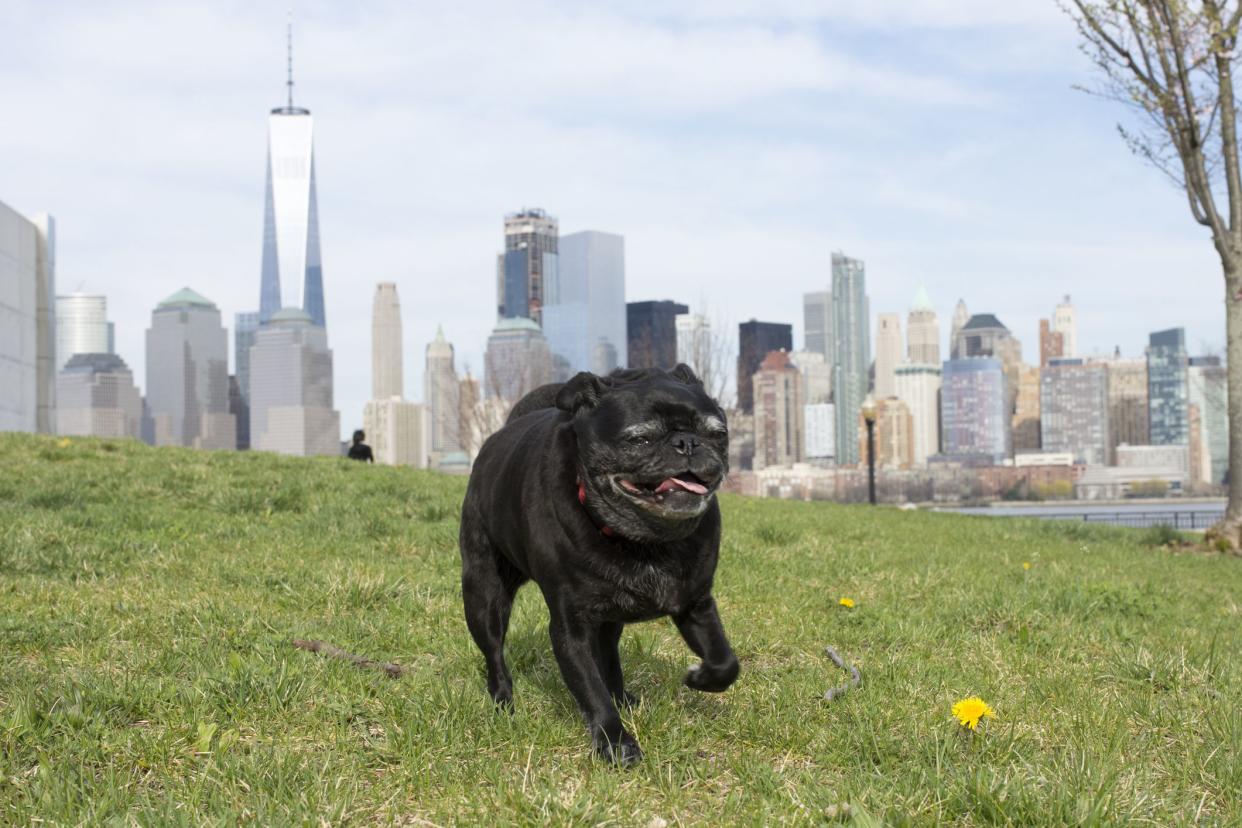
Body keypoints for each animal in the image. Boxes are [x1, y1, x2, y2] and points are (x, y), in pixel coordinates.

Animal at [462, 364, 740, 769]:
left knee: (608, 656)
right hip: (483, 596)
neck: (643, 541)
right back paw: (502, 701)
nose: (687, 442)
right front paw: (615, 742)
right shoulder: (570, 630)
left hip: (610, 619)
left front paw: (701, 677)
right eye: (639, 439)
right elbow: (591, 691)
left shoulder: (696, 604)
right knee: (494, 652)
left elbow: (724, 660)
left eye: (718, 433)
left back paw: (623, 697)